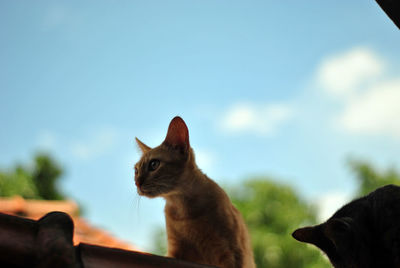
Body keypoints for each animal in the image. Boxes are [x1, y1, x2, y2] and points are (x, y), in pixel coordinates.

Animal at [133, 116, 255, 268]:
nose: (137, 183)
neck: (183, 211)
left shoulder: (232, 254)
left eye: (154, 164)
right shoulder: (174, 252)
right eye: (136, 170)